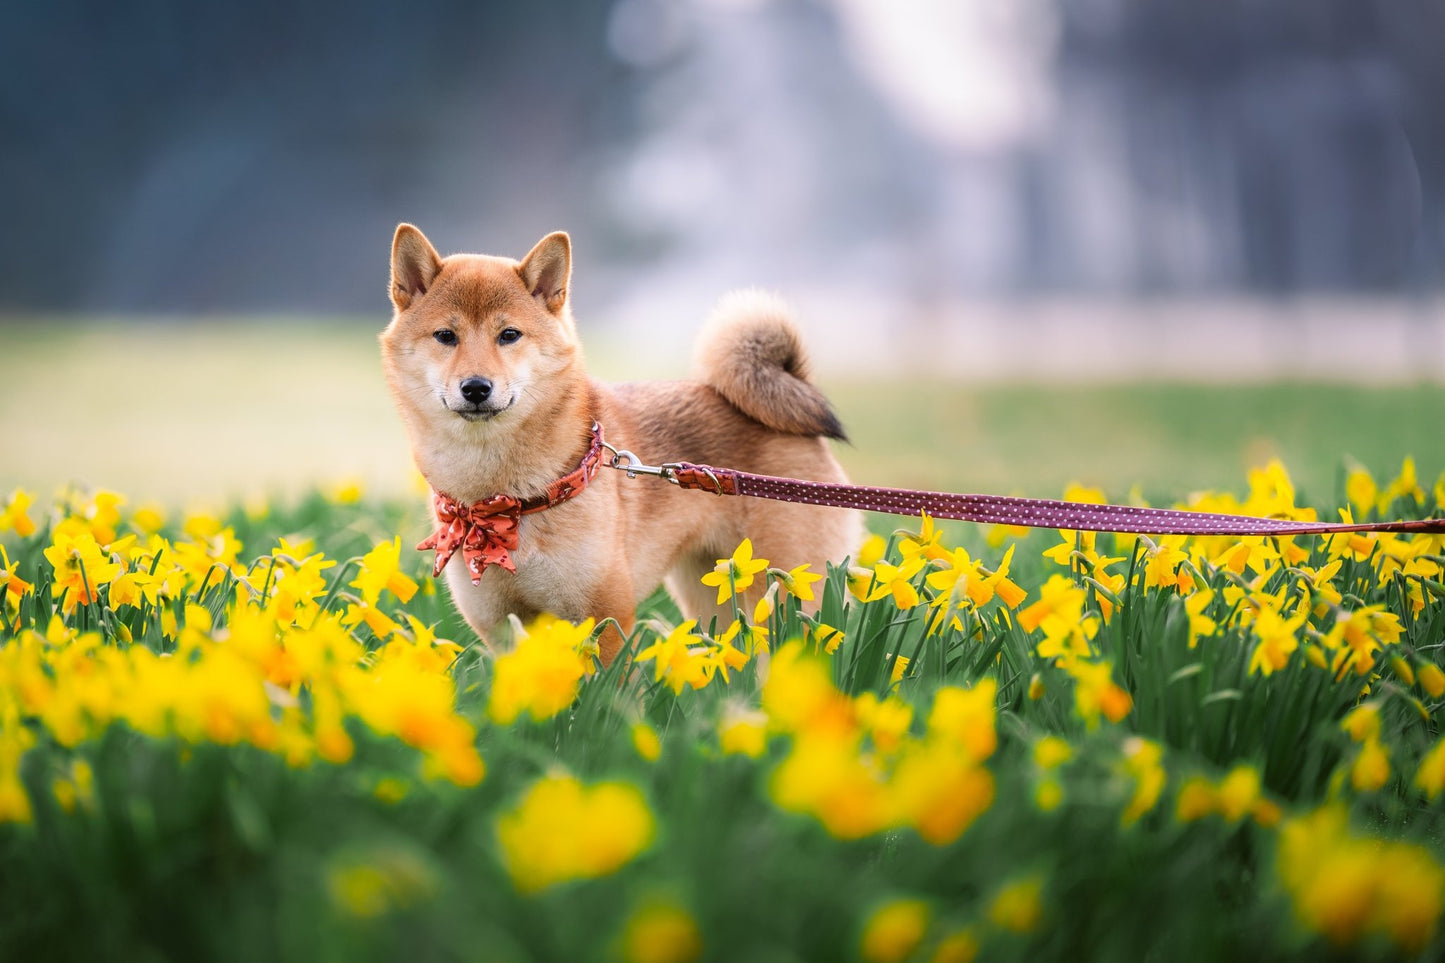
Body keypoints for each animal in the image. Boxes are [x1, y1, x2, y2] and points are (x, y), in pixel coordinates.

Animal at [380, 225, 862, 665]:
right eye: (446, 336)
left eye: (509, 335)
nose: (477, 387)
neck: (503, 500)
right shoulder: (501, 628)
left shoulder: (605, 618)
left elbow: (604, 694)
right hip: (714, 595)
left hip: (787, 595)